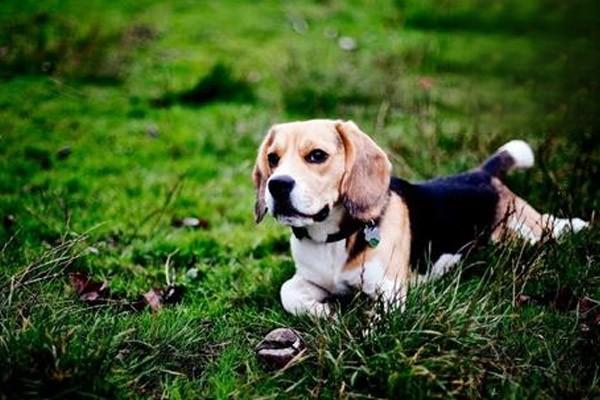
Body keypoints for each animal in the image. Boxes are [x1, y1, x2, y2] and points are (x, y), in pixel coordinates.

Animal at [251, 119, 588, 318]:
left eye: (317, 156)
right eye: (273, 159)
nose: (276, 185)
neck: (331, 238)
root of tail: (482, 172)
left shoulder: (390, 292)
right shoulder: (308, 279)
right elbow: (287, 292)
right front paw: (325, 312)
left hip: (525, 228)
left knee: (548, 224)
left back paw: (576, 225)